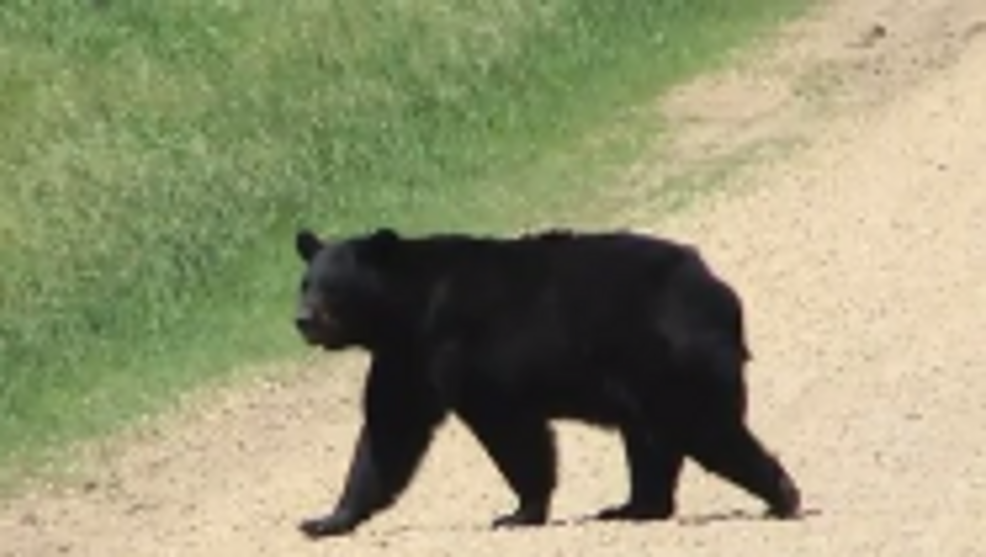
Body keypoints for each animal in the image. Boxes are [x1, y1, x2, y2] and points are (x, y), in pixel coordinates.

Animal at [293, 227, 800, 538]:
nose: (303, 320)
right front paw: (327, 519)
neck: (411, 310)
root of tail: (720, 291)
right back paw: (633, 507)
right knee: (652, 439)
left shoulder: (464, 350)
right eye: (305, 283)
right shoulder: (407, 359)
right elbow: (389, 430)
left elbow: (511, 432)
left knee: (704, 426)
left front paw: (518, 513)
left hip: (670, 356)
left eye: (333, 287)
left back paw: (781, 495)